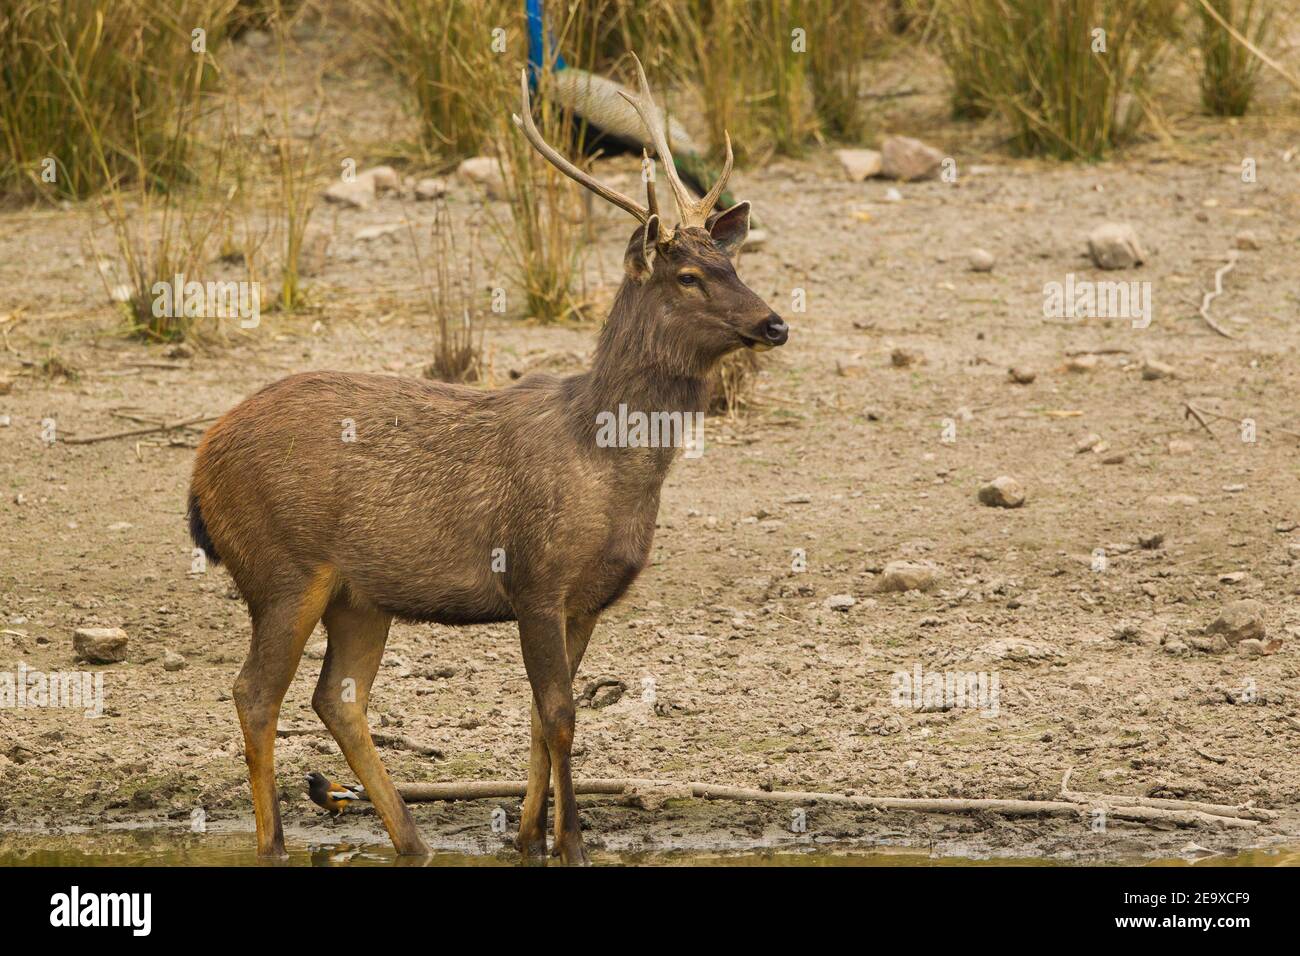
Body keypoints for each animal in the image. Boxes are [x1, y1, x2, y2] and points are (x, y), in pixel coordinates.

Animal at [188, 57, 785, 868]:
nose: (774, 323)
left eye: (731, 260)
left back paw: (412, 840)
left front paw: (530, 838)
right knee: (255, 693)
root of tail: (199, 469)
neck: (609, 465)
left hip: (358, 595)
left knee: (337, 697)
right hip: (282, 567)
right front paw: (571, 845)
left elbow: (538, 716)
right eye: (686, 276)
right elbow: (561, 713)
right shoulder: (533, 575)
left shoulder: (584, 600)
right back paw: (277, 845)